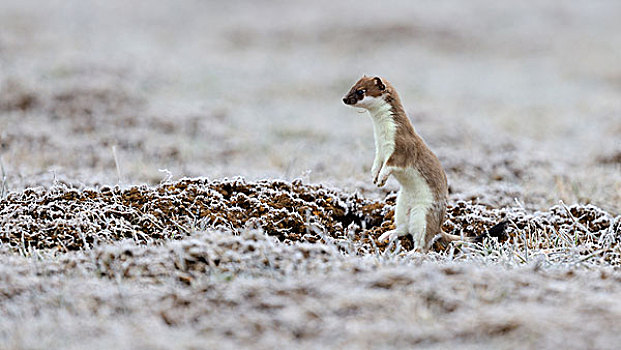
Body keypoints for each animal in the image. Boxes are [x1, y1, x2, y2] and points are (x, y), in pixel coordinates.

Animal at [342, 76, 506, 252]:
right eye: (352, 86)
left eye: (361, 91)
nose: (344, 99)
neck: (382, 136)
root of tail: (439, 226)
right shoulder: (379, 150)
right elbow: (377, 163)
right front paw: (374, 176)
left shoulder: (401, 149)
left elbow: (391, 165)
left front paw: (381, 178)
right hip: (400, 206)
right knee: (404, 228)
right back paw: (386, 235)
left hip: (423, 214)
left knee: (424, 241)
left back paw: (413, 252)